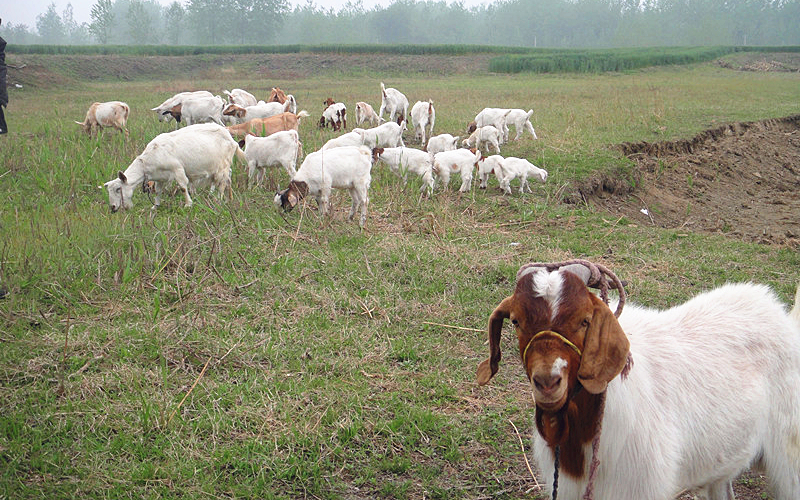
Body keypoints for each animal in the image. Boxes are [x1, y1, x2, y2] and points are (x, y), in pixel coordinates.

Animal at [101, 125, 244, 213]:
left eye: (118, 189)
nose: (112, 207)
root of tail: (232, 139)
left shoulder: (177, 169)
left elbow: (182, 187)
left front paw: (188, 204)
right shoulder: (159, 177)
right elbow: (158, 191)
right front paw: (155, 206)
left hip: (222, 165)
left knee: (222, 182)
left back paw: (219, 200)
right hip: (224, 165)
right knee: (228, 178)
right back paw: (229, 198)